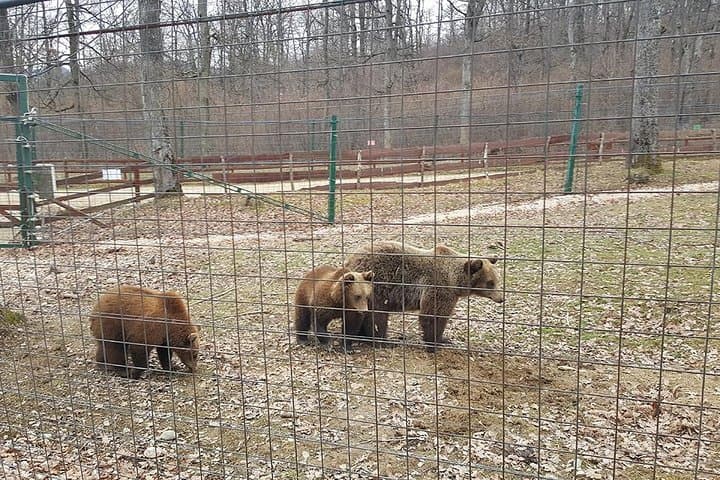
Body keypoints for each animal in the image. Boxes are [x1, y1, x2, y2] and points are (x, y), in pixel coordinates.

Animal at [343, 241, 504, 351]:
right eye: (490, 282)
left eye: (497, 279)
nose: (501, 298)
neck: (454, 281)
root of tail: (350, 260)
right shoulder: (438, 289)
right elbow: (432, 316)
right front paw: (435, 343)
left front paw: (444, 339)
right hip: (376, 289)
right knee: (377, 317)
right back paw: (383, 341)